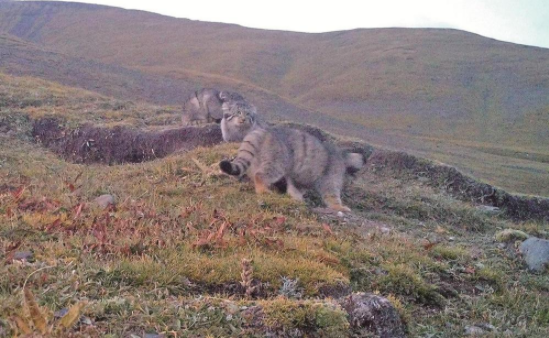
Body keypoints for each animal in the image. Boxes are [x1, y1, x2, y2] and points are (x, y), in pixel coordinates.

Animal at [218, 125, 364, 213]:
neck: (343, 158)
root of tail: (263, 131)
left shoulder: (299, 178)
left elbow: (294, 188)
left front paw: (297, 198)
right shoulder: (330, 177)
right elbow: (332, 195)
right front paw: (339, 207)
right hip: (277, 162)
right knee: (260, 175)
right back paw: (263, 190)